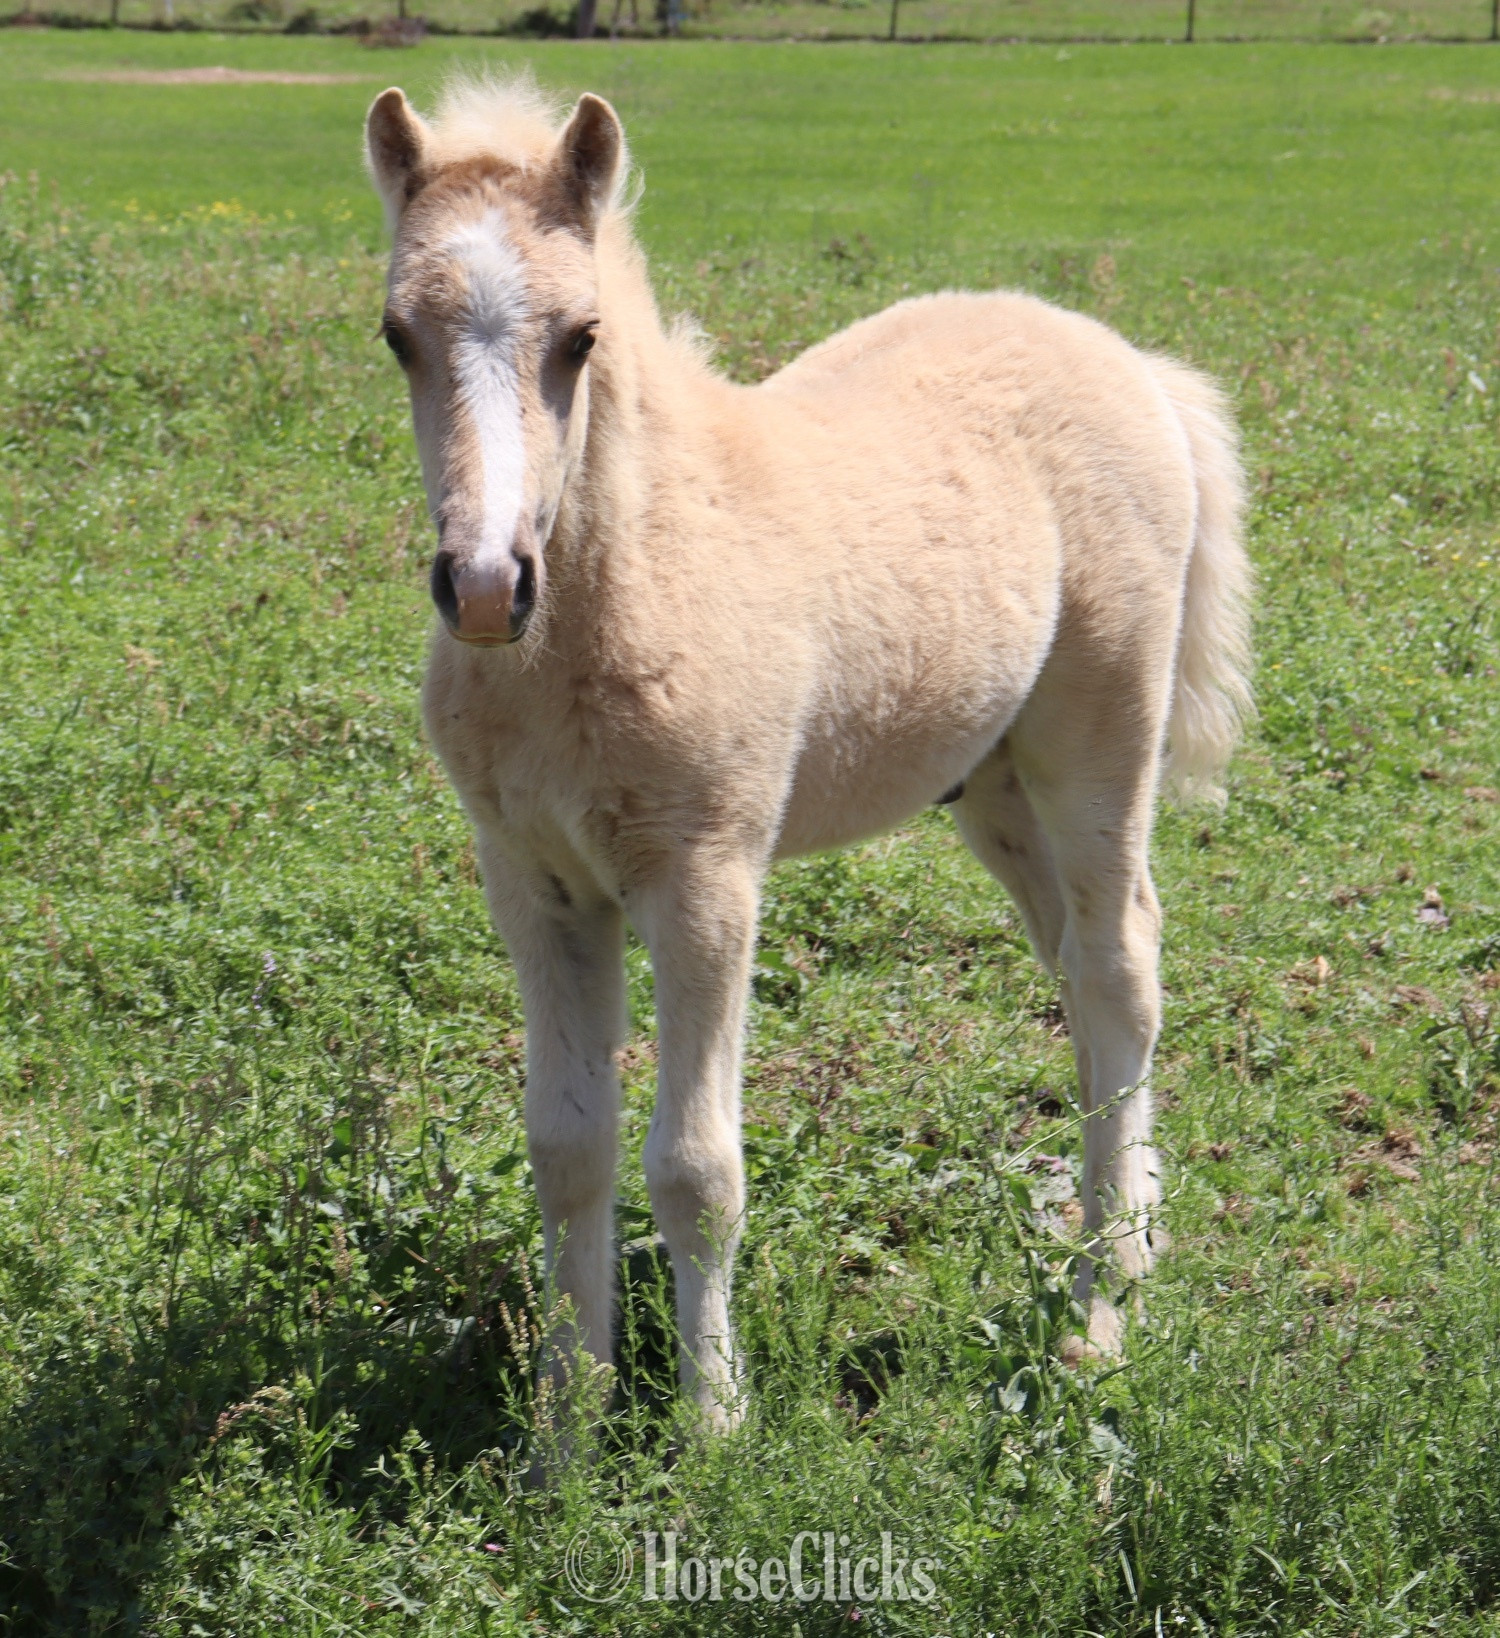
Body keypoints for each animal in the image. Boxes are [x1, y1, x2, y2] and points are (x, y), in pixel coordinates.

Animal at [363, 78, 1252, 1431]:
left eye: (579, 337)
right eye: (397, 336)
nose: (481, 586)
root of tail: (1127, 357)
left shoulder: (708, 879)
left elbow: (695, 1168)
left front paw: (714, 1430)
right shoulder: (535, 885)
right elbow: (569, 1153)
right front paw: (564, 1434)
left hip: (1097, 741)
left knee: (1119, 966)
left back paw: (1101, 1312)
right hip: (990, 785)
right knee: (1075, 972)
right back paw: (1133, 1239)